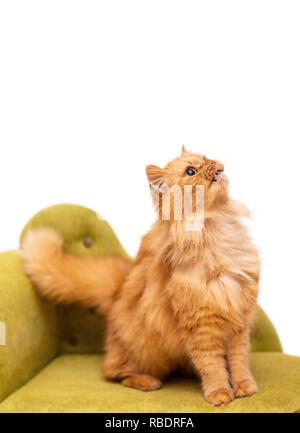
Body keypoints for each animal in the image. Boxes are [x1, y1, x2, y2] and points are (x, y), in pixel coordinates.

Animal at [21, 147, 260, 406]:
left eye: (206, 158)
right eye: (190, 171)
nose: (215, 163)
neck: (219, 232)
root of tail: (117, 291)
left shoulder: (239, 323)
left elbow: (238, 363)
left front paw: (245, 387)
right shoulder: (199, 326)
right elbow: (212, 366)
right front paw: (220, 393)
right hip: (144, 352)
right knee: (115, 373)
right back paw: (148, 382)